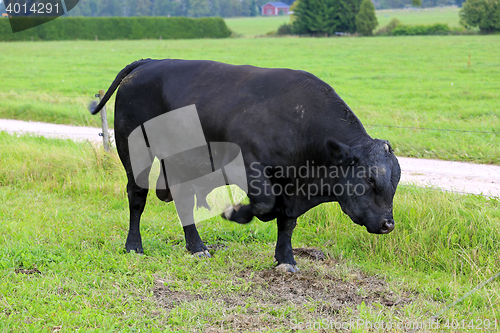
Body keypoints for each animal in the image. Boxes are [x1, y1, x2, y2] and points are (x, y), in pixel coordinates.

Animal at [90, 58, 402, 272]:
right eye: (370, 179)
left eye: (395, 182)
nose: (388, 224)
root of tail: (150, 62)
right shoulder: (248, 168)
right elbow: (265, 205)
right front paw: (235, 212)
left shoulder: (292, 188)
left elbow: (286, 222)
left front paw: (285, 259)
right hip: (134, 150)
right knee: (137, 196)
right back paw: (134, 246)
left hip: (183, 159)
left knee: (182, 199)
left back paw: (196, 246)